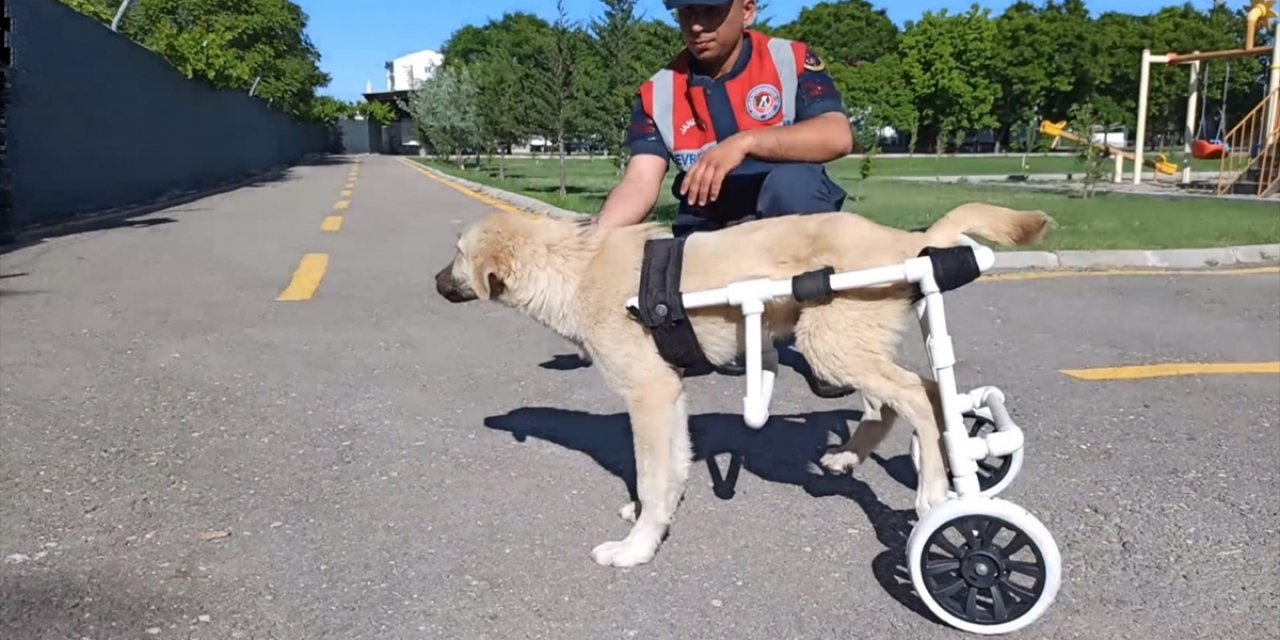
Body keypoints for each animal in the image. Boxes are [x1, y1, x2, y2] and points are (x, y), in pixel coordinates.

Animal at [435, 202, 1054, 568]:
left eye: (457, 255)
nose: (435, 282)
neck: (573, 267)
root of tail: (908, 240)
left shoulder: (649, 395)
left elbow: (652, 475)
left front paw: (637, 549)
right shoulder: (670, 396)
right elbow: (670, 471)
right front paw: (654, 519)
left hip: (831, 344)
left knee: (918, 397)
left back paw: (936, 492)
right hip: (848, 345)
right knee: (911, 392)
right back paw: (868, 458)